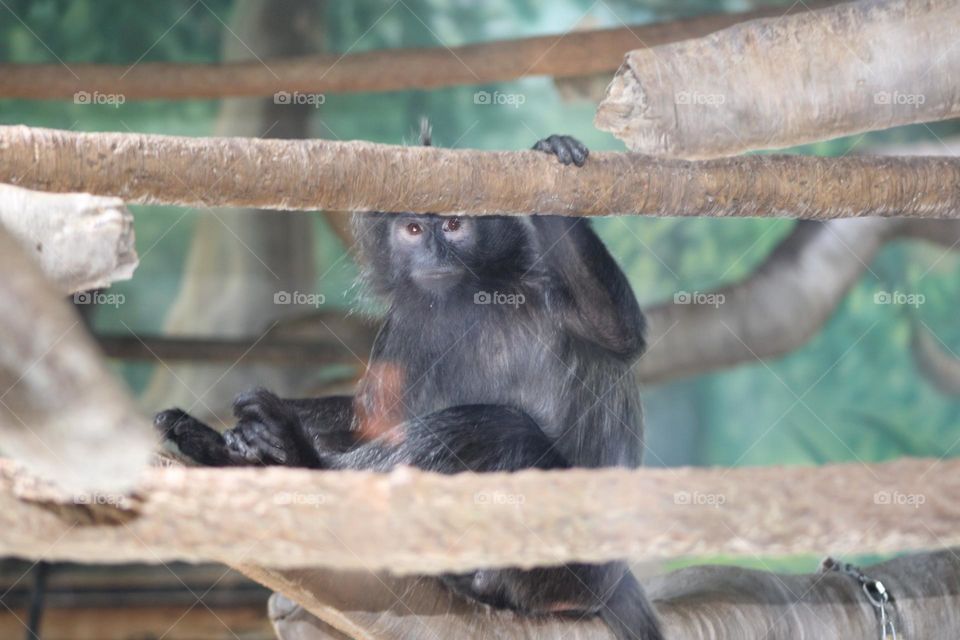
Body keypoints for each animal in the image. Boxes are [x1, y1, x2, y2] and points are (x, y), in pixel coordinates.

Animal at [155, 132, 663, 640]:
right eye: (414, 230)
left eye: (454, 225)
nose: (434, 255)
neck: (468, 294)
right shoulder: (403, 325)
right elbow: (372, 419)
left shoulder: (539, 287)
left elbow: (618, 329)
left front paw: (555, 159)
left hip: (567, 568)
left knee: (503, 429)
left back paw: (291, 458)